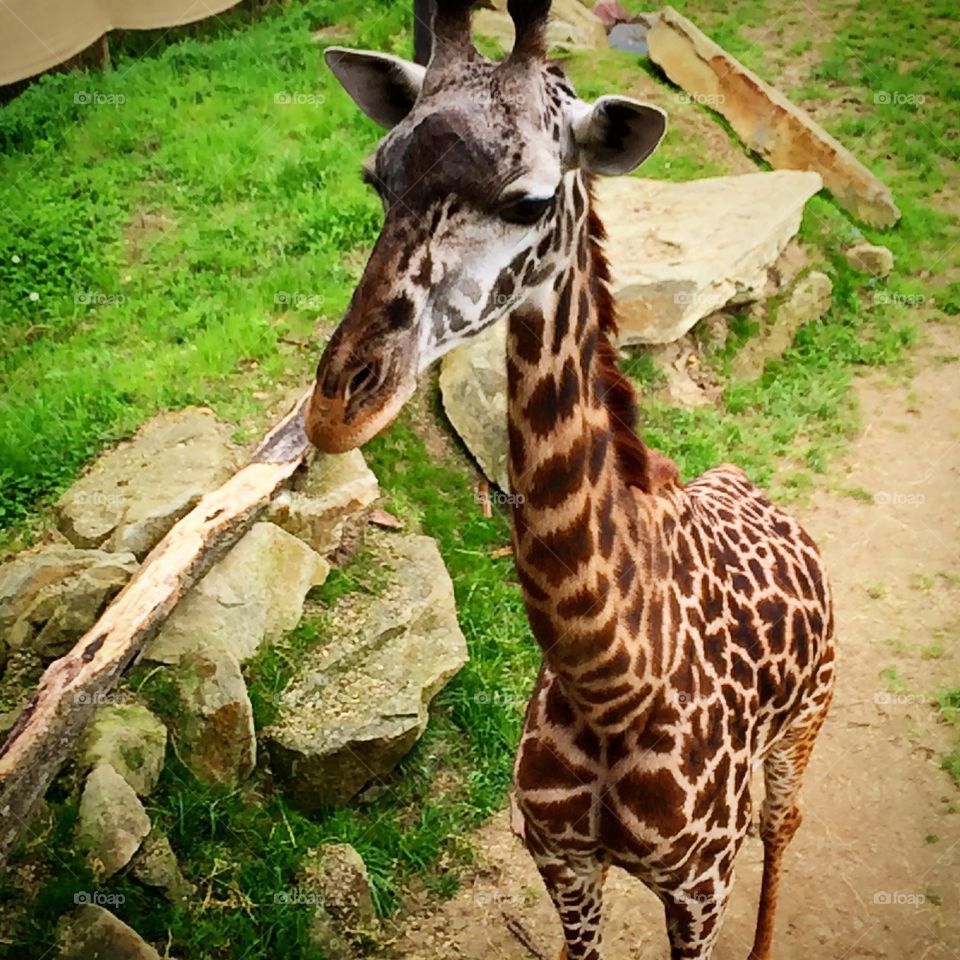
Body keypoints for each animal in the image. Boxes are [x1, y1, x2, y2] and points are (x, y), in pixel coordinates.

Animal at [304, 2, 836, 957]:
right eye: (377, 177)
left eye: (530, 200)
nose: (337, 407)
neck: (611, 682)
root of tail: (757, 490)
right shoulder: (562, 864)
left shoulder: (699, 890)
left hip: (803, 728)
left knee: (783, 822)